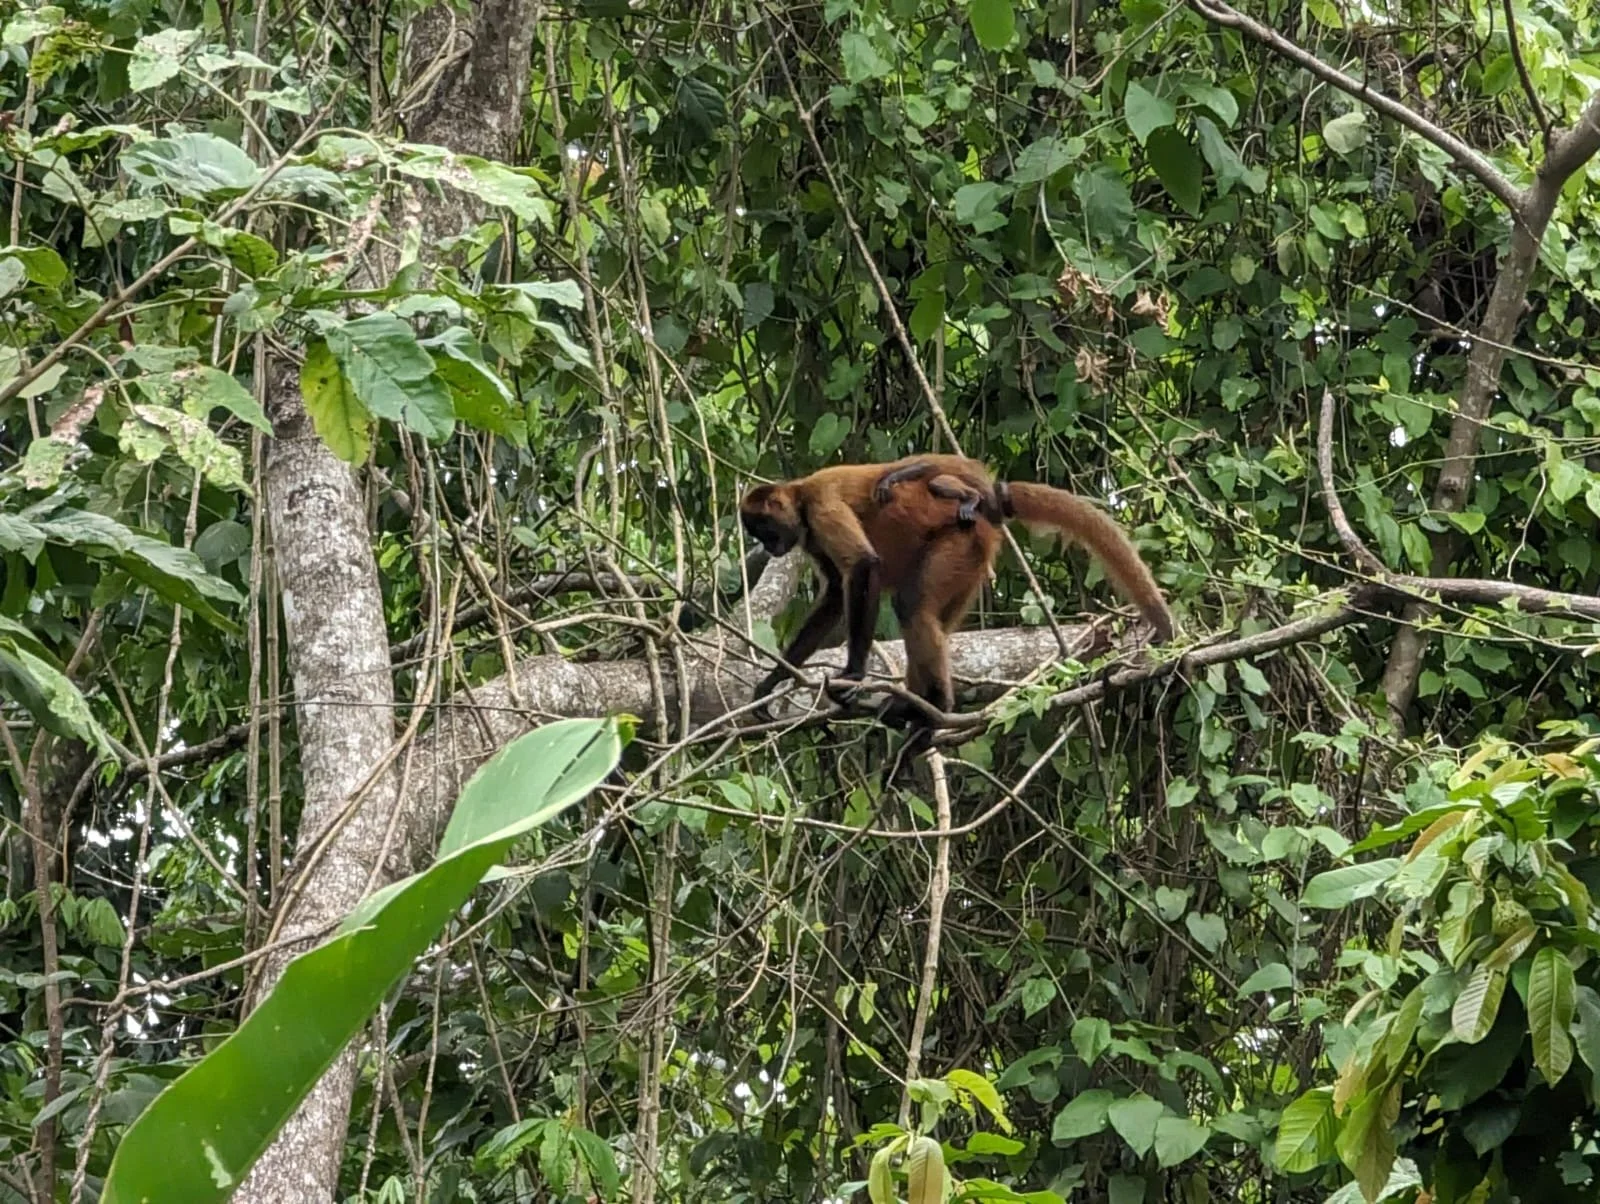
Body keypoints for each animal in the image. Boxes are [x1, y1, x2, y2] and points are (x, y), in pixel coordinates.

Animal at [738, 454, 1174, 733]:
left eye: (766, 531)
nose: (771, 549)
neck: (799, 495)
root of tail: (985, 511)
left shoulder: (820, 504)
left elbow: (864, 566)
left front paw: (854, 675)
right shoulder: (809, 534)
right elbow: (832, 598)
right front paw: (770, 683)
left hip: (958, 543)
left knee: (910, 605)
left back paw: (936, 708)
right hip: (969, 564)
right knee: (927, 617)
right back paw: (913, 707)